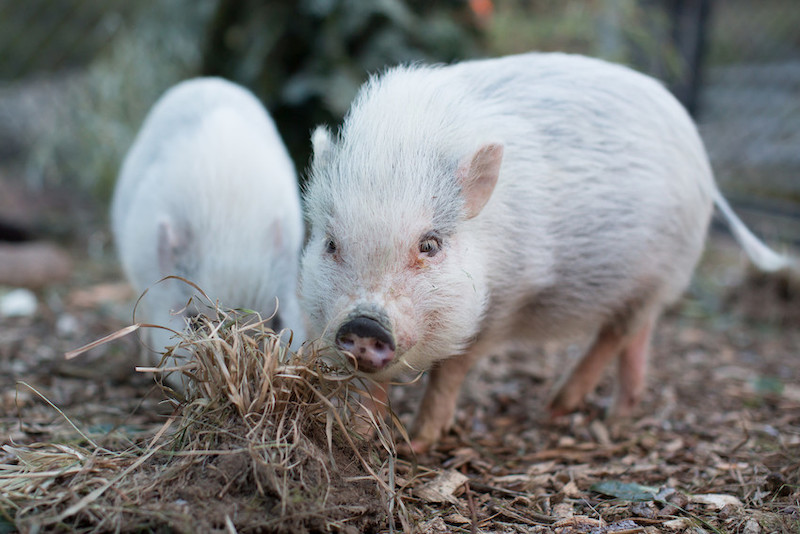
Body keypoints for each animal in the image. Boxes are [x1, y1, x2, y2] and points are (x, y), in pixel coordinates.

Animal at [298, 52, 794, 452]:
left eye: (430, 244)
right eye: (330, 243)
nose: (365, 324)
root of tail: (700, 157)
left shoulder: (507, 298)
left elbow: (451, 370)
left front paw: (418, 444)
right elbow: (371, 386)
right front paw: (359, 438)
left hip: (662, 272)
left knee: (617, 332)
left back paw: (557, 410)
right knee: (637, 335)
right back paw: (613, 414)